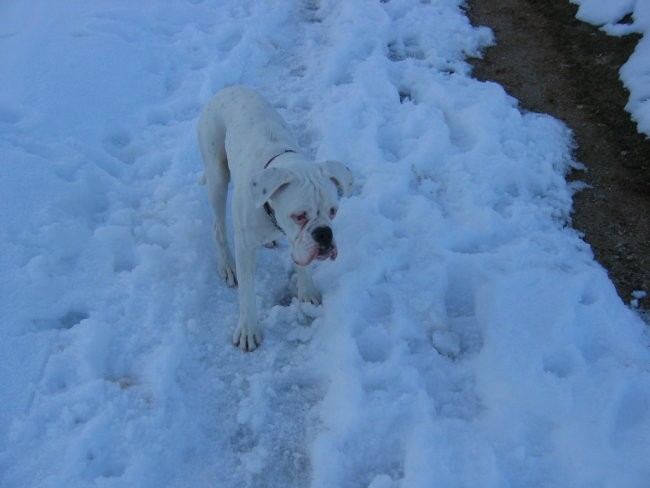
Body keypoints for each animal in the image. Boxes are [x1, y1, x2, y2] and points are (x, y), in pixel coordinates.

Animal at [196, 85, 352, 350]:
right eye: (299, 216)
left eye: (333, 211)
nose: (324, 234)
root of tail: (227, 89)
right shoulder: (245, 247)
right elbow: (247, 292)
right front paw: (248, 329)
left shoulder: (298, 242)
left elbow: (302, 263)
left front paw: (307, 291)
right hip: (217, 175)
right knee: (218, 228)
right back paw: (227, 265)